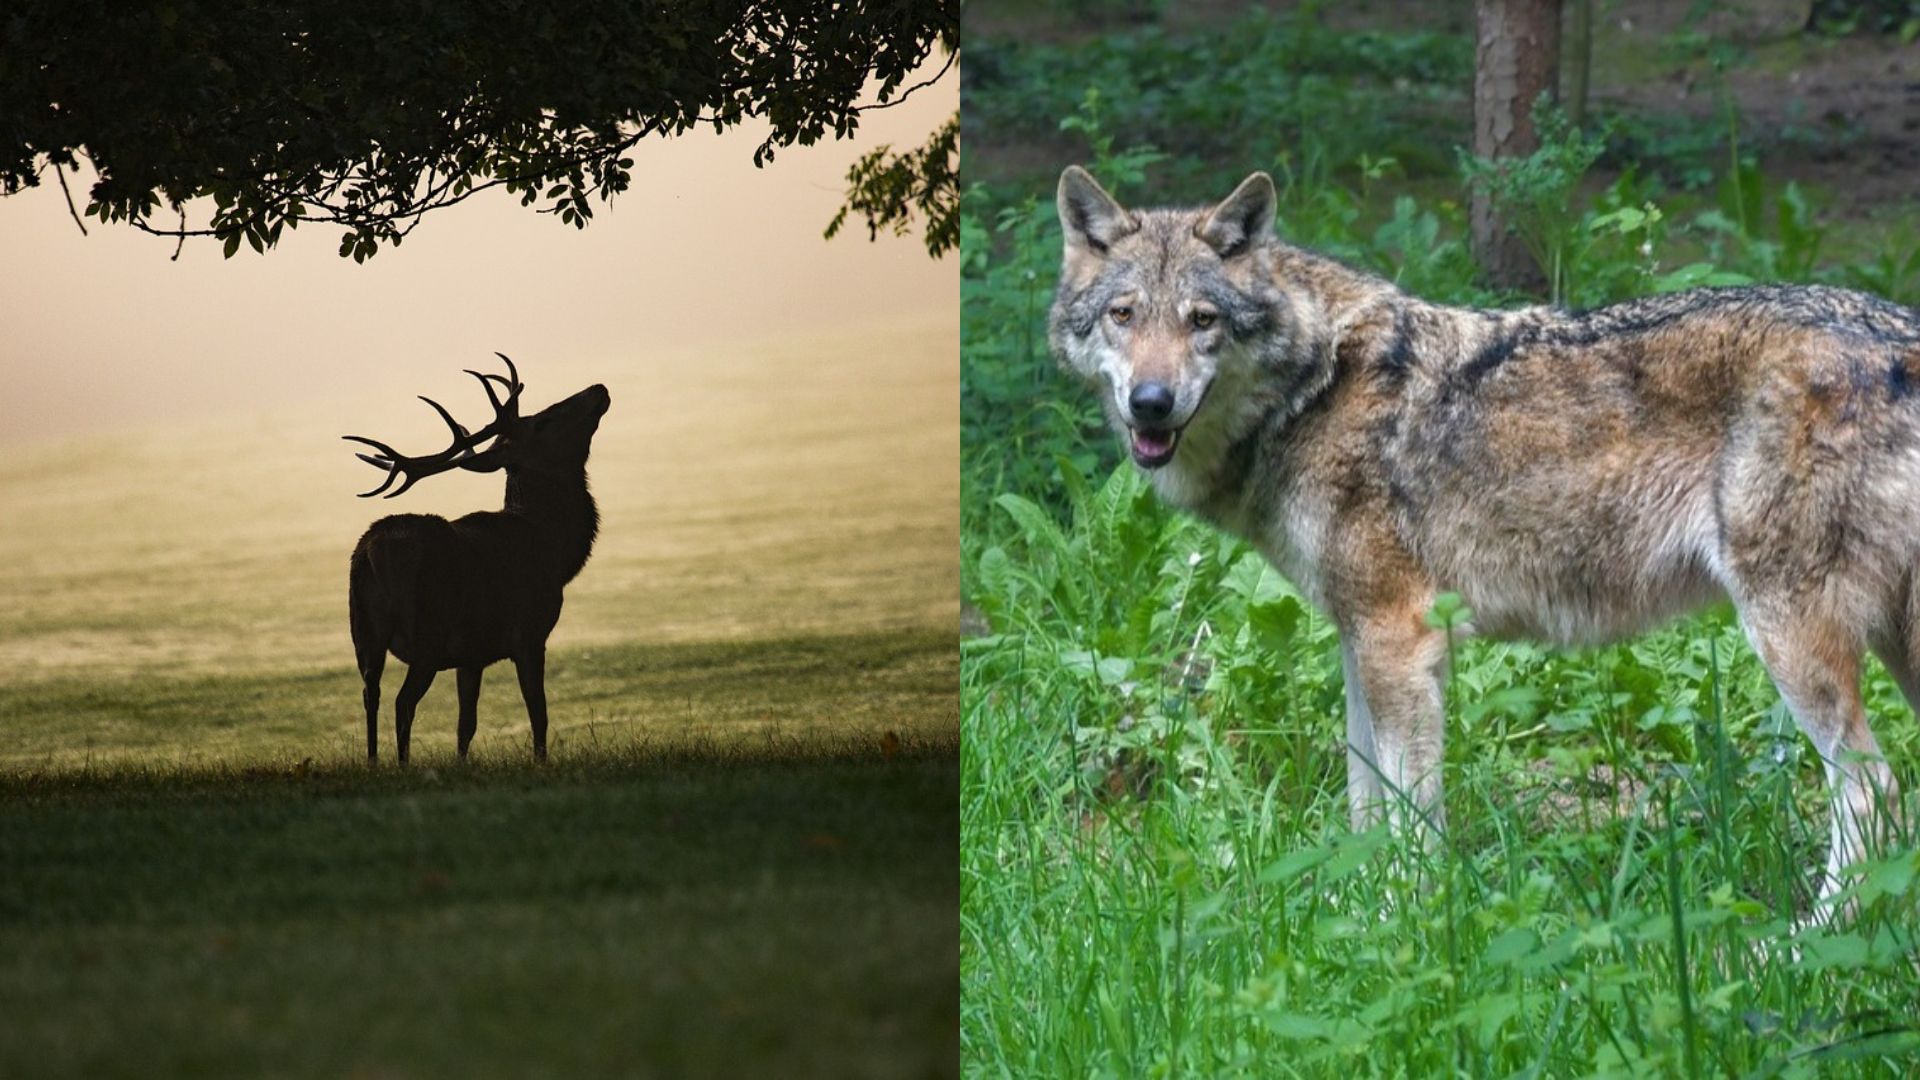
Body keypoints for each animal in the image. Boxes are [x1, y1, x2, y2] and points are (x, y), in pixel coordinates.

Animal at [1049, 164, 1919, 908]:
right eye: (1124, 317)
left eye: (1201, 321)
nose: (1151, 402)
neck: (1315, 387)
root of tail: (1903, 336)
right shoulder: (1360, 640)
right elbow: (1366, 805)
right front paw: (1351, 917)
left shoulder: (1400, 638)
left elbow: (1409, 816)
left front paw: (1404, 922)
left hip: (1788, 637)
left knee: (1873, 791)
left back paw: (1799, 949)